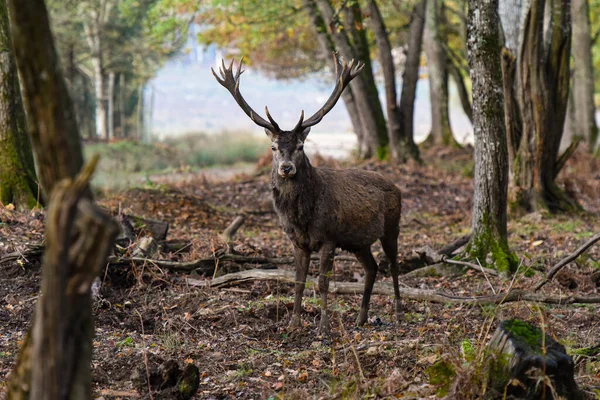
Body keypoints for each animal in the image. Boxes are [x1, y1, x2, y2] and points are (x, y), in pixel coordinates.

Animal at [212, 53, 404, 334]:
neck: (301, 216)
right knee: (372, 267)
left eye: (301, 146)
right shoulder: (297, 241)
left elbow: (323, 282)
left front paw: (323, 326)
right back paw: (361, 317)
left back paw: (399, 310)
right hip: (357, 241)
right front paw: (293, 323)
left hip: (392, 226)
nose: (286, 168)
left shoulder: (329, 237)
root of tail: (397, 186)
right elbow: (298, 281)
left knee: (394, 264)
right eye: (273, 147)